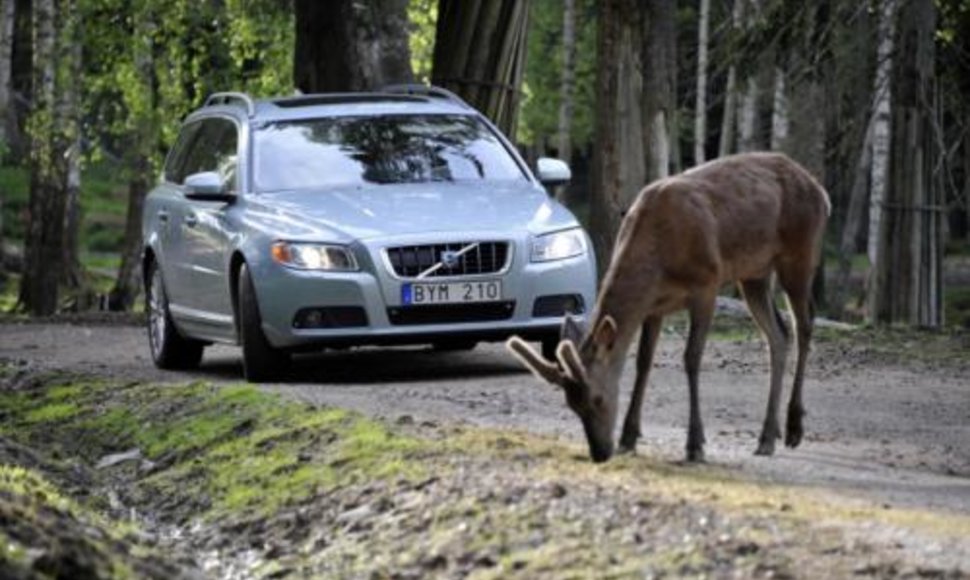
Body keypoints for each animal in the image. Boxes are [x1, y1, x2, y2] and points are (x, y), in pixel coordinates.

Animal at [502, 153, 828, 462]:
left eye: (597, 399)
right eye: (571, 404)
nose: (600, 453)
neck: (660, 257)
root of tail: (821, 192)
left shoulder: (707, 283)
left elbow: (691, 359)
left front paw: (695, 445)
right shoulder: (654, 305)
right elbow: (643, 362)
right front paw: (629, 438)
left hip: (800, 253)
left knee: (804, 324)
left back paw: (794, 429)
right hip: (753, 274)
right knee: (778, 335)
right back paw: (767, 437)